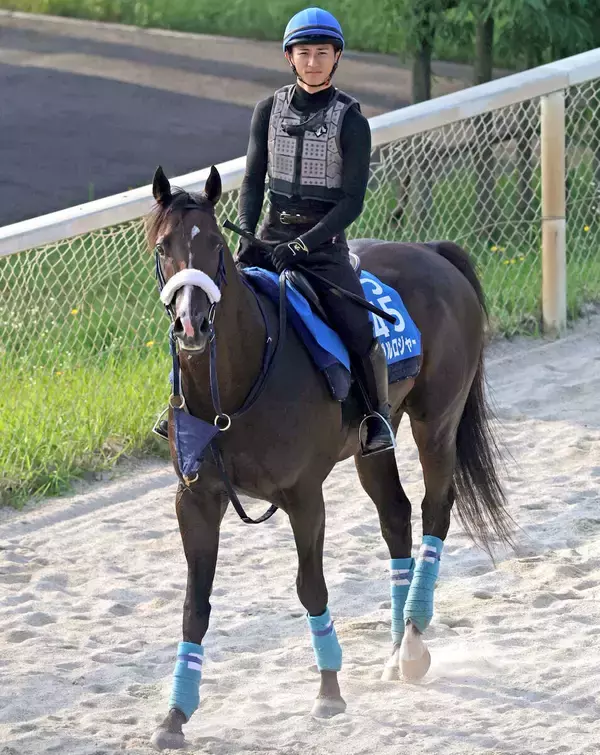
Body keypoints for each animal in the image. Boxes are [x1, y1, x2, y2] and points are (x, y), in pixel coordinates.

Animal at [145, 164, 512, 750]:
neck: (238, 383)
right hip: (375, 443)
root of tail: (431, 250)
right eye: (164, 247)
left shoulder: (304, 496)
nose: (192, 325)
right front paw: (174, 716)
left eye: (216, 247)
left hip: (436, 423)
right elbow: (194, 606)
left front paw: (330, 691)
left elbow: (309, 586)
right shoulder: (196, 500)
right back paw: (394, 649)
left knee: (435, 510)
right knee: (396, 517)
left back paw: (412, 645)